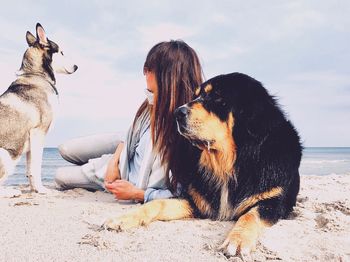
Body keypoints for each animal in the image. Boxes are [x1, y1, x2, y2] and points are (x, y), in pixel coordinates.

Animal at [0, 23, 78, 196]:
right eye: (61, 52)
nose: (76, 66)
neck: (36, 75)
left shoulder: (32, 141)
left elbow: (30, 169)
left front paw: (35, 189)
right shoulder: (39, 133)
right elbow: (36, 167)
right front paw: (42, 189)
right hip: (7, 154)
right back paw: (9, 192)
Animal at [105, 72, 302, 256]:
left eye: (217, 97)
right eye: (196, 95)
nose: (177, 113)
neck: (229, 165)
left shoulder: (273, 202)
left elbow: (251, 215)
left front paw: (238, 240)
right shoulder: (196, 201)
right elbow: (157, 204)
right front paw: (123, 218)